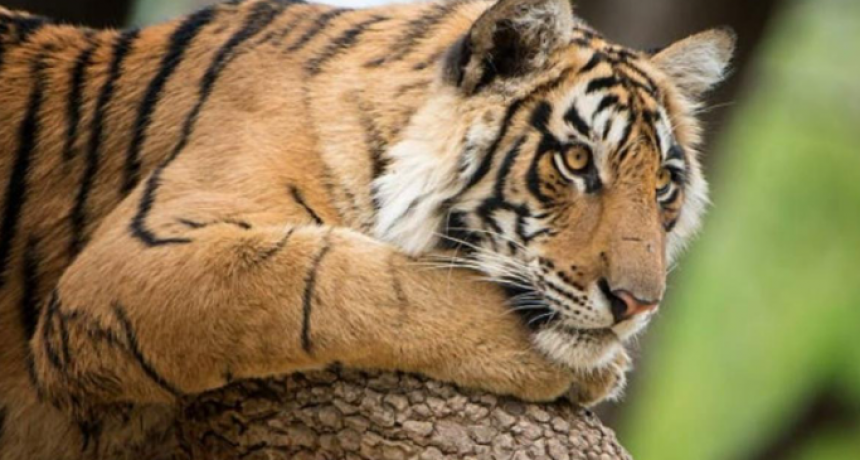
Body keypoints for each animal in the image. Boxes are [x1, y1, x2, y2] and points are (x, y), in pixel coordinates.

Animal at [0, 0, 734, 458]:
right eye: (577, 161)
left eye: (663, 186)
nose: (638, 304)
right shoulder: (128, 266)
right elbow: (335, 282)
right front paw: (580, 364)